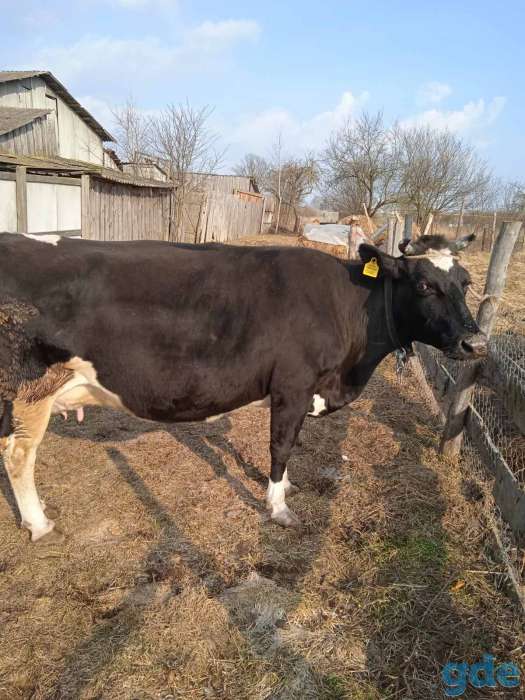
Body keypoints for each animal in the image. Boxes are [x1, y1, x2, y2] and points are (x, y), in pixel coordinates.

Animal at [0, 231, 486, 543]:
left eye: (465, 283)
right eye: (423, 285)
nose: (477, 342)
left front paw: (286, 488)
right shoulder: (292, 385)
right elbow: (281, 444)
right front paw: (278, 507)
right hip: (28, 389)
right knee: (19, 456)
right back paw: (39, 525)